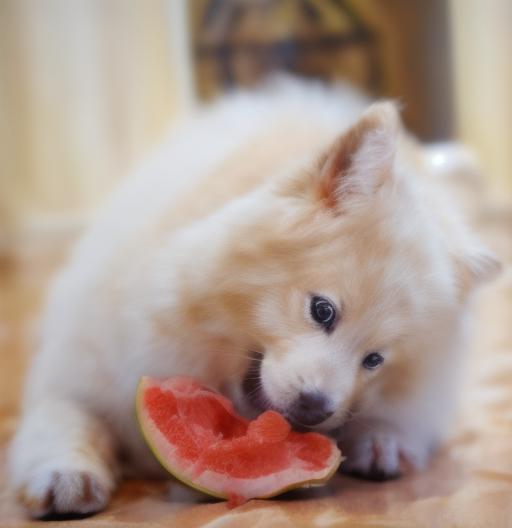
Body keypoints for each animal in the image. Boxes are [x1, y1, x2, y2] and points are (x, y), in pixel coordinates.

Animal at [8, 77, 500, 516]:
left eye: (375, 360)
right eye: (322, 311)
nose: (315, 408)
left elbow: (403, 416)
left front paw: (383, 439)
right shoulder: (82, 366)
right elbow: (65, 417)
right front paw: (64, 475)